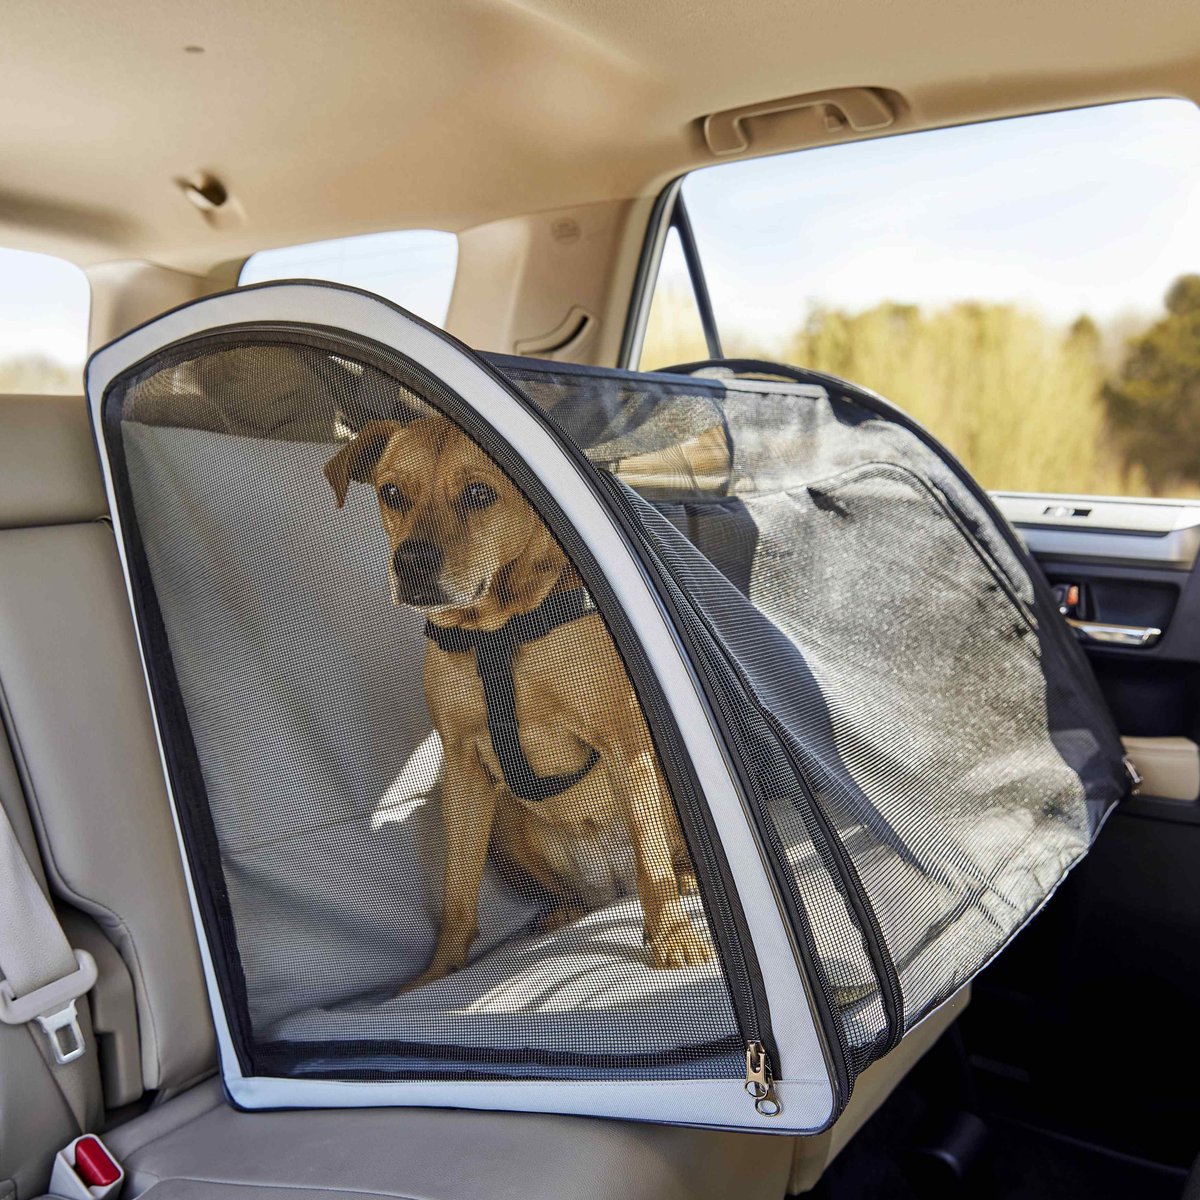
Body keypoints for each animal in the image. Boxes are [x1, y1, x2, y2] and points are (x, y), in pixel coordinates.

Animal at [326, 417, 710, 988]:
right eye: (392, 493)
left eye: (480, 494)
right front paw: (442, 970)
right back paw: (564, 911)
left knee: (657, 865)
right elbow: (459, 888)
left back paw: (684, 881)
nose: (410, 563)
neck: (497, 630)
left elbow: (652, 861)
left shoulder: (628, 745)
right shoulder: (463, 765)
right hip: (508, 826)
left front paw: (670, 941)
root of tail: (610, 880)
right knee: (578, 891)